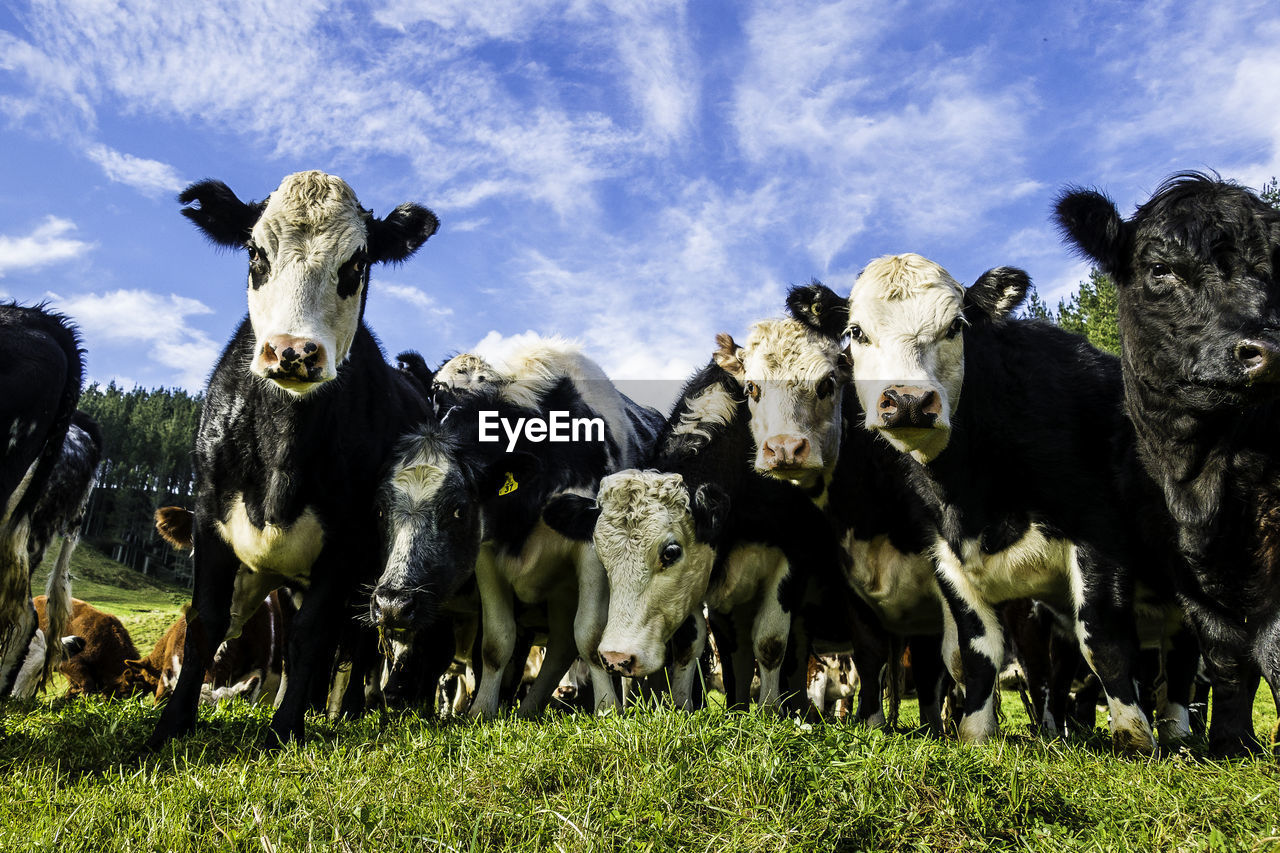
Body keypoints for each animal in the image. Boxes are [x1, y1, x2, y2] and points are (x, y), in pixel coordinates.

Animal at [146, 171, 440, 742]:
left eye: (357, 263)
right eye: (255, 252)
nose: (293, 351)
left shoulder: (346, 540)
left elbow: (312, 635)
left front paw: (284, 730)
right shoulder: (209, 516)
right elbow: (205, 621)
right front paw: (171, 725)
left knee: (355, 644)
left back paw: (344, 709)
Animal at [803, 252, 1167, 753]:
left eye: (955, 326)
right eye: (856, 332)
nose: (909, 400)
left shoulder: (1100, 531)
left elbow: (1103, 640)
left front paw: (1134, 739)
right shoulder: (946, 555)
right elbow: (974, 653)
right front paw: (976, 734)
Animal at [1054, 171, 1280, 753]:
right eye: (1160, 269)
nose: (1269, 350)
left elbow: (1271, 642)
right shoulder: (1169, 545)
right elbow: (1225, 649)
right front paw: (1231, 741)